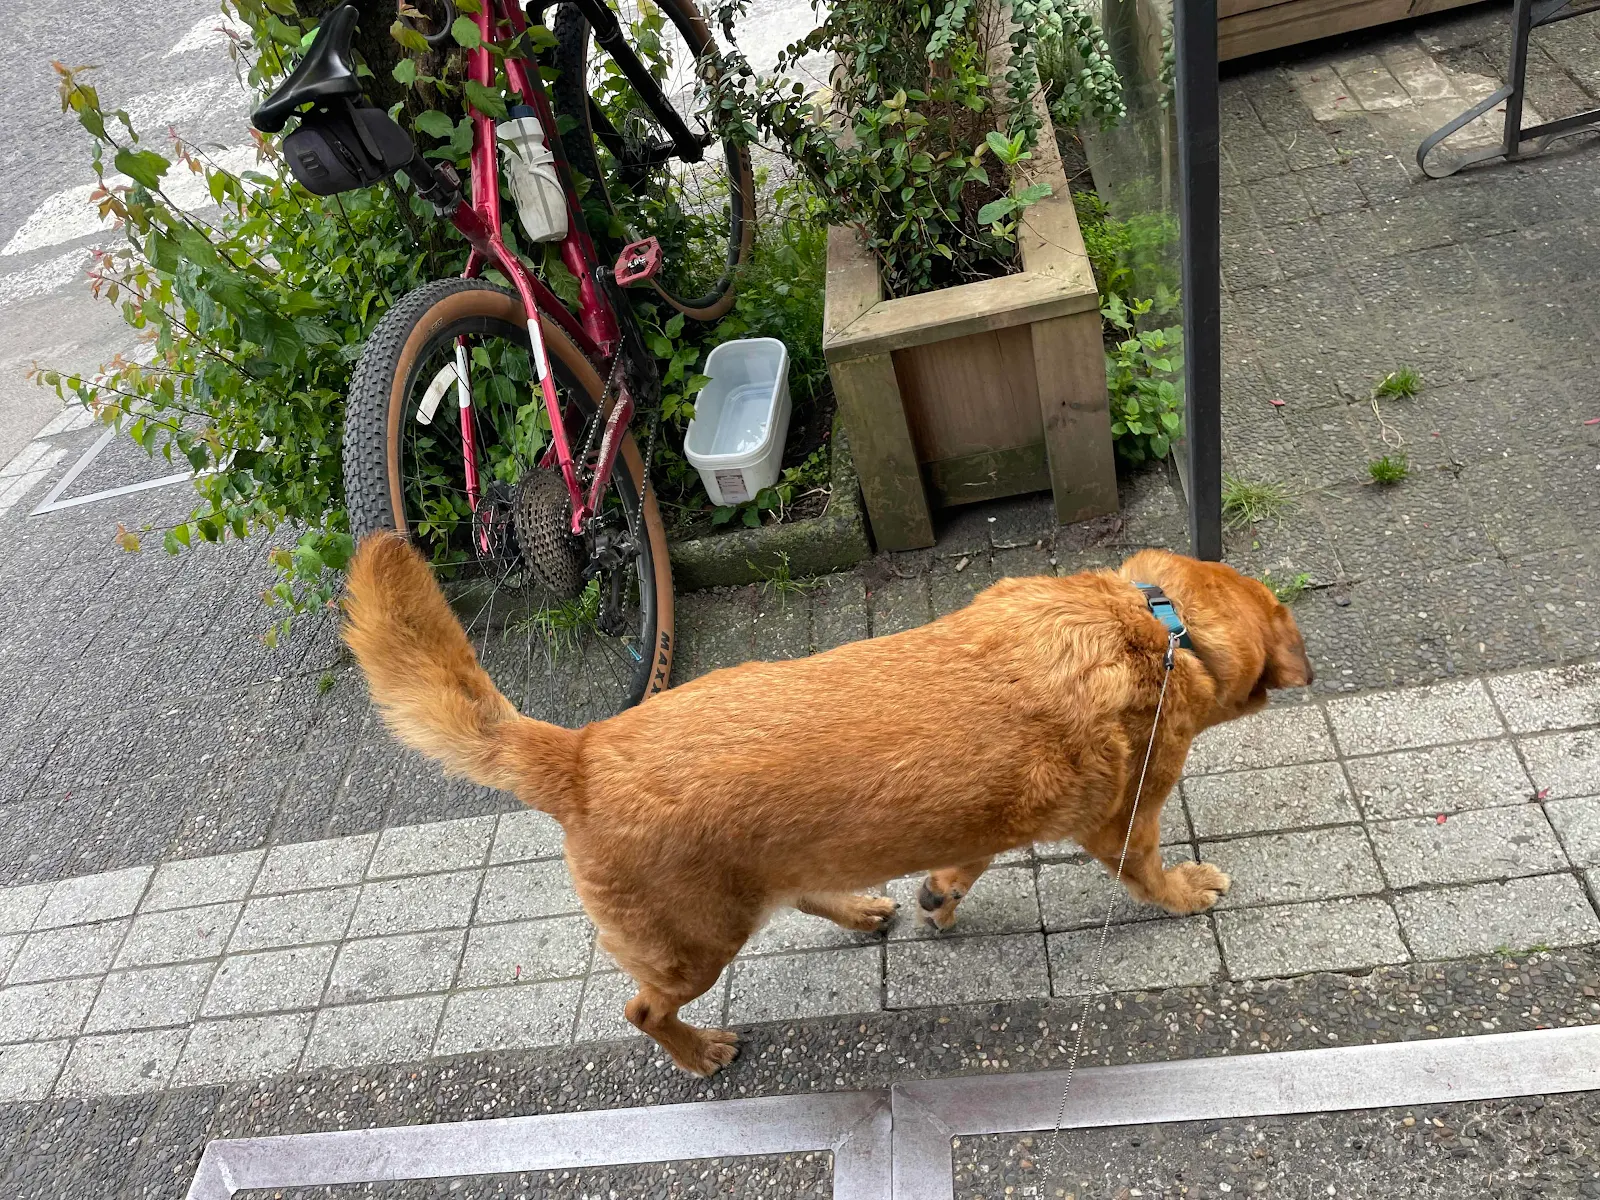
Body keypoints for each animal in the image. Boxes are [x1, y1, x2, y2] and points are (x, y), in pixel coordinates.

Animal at [343, 535, 1313, 1075]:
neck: (1160, 623)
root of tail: (579, 755)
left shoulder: (989, 820)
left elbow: (962, 864)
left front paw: (937, 899)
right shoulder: (1124, 824)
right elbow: (1150, 875)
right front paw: (1188, 893)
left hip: (766, 879)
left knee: (805, 893)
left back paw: (862, 909)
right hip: (694, 948)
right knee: (642, 1012)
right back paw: (699, 1054)